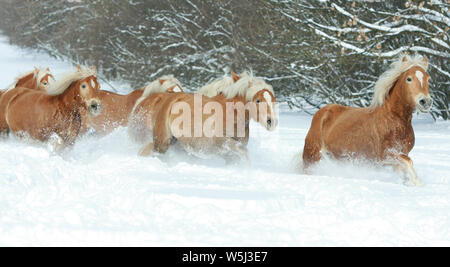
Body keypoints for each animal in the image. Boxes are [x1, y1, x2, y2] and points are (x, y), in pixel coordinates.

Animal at [128, 71, 278, 162]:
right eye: (257, 100)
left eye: (273, 99)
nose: (272, 122)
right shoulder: (221, 143)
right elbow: (244, 154)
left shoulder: (230, 154)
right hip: (162, 142)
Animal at [302, 55, 432, 187]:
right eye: (409, 79)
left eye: (428, 79)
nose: (425, 101)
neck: (394, 120)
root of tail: (322, 112)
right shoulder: (384, 155)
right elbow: (408, 162)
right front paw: (418, 183)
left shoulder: (401, 153)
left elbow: (404, 168)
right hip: (312, 155)